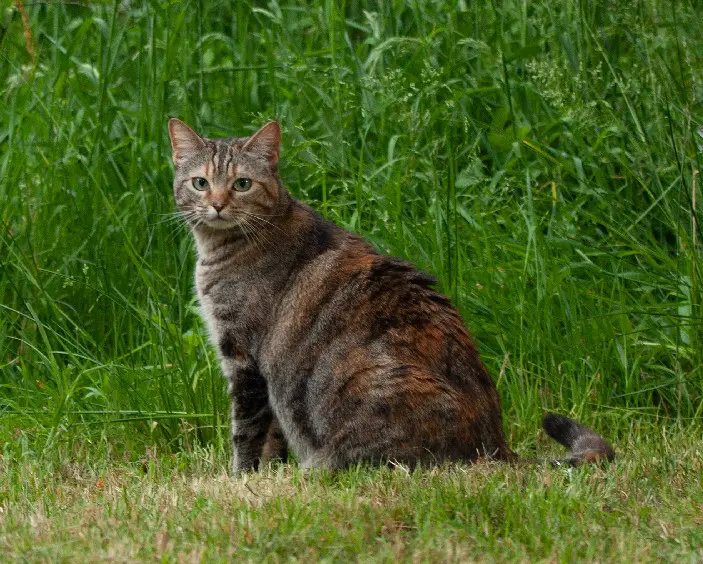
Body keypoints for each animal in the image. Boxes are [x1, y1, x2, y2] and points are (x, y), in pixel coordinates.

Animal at [168, 119, 612, 472]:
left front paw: (240, 478)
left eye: (242, 183)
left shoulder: (244, 358)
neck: (221, 249)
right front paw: (268, 475)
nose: (217, 204)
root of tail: (495, 445)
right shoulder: (265, 375)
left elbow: (246, 433)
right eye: (200, 183)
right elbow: (273, 437)